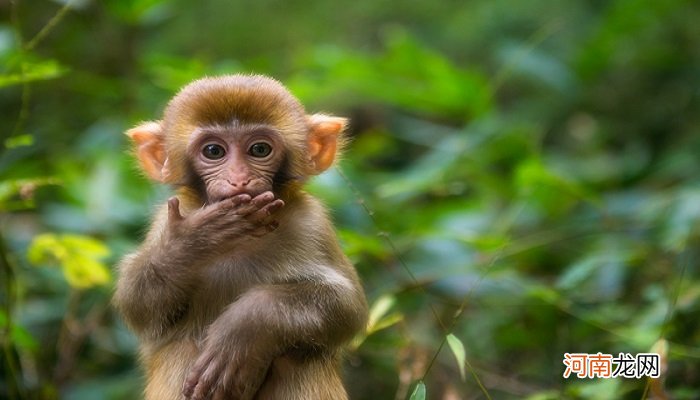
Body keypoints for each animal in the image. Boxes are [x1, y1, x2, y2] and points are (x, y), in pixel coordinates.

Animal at [112, 73, 370, 398]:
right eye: (213, 151)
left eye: (259, 150)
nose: (239, 179)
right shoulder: (166, 220)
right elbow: (138, 303)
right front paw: (196, 240)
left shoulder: (312, 224)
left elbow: (347, 305)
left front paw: (244, 329)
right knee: (180, 348)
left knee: (300, 360)